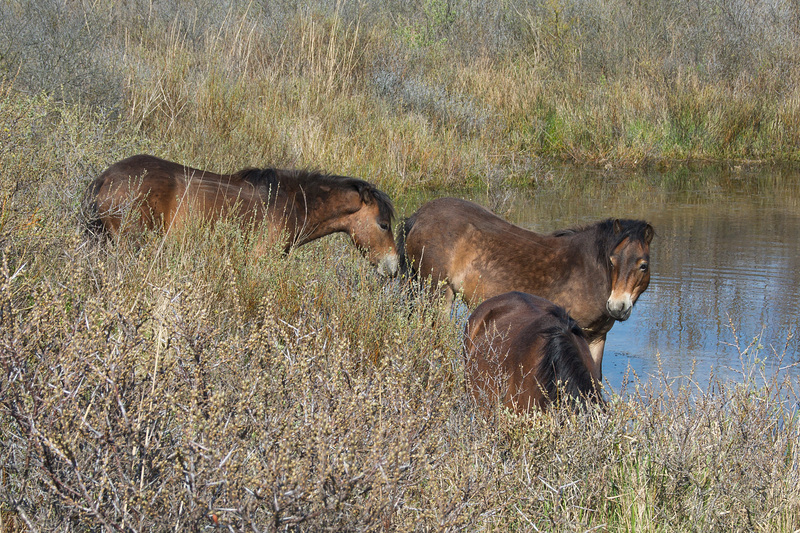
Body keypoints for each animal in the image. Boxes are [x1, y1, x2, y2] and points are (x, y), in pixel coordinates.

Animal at [400, 195, 656, 374]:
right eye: (612, 261)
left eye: (643, 265)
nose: (617, 307)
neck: (588, 272)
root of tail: (419, 215)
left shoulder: (597, 337)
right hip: (438, 294)